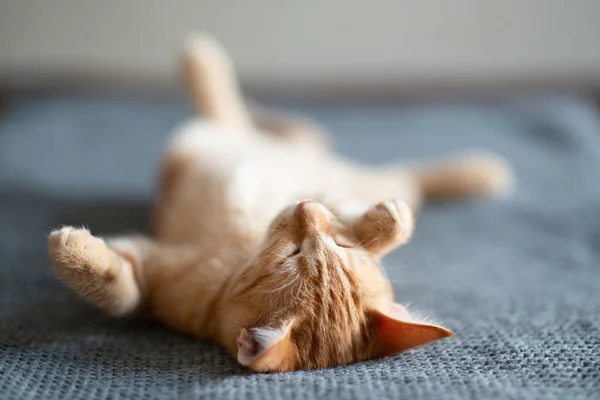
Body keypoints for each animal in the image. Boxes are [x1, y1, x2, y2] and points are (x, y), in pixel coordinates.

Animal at [49, 32, 512, 374]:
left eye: (294, 255)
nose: (305, 208)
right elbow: (367, 219)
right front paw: (381, 219)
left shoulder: (147, 285)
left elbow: (117, 291)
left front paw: (71, 251)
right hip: (282, 153)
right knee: (296, 131)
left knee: (227, 111)